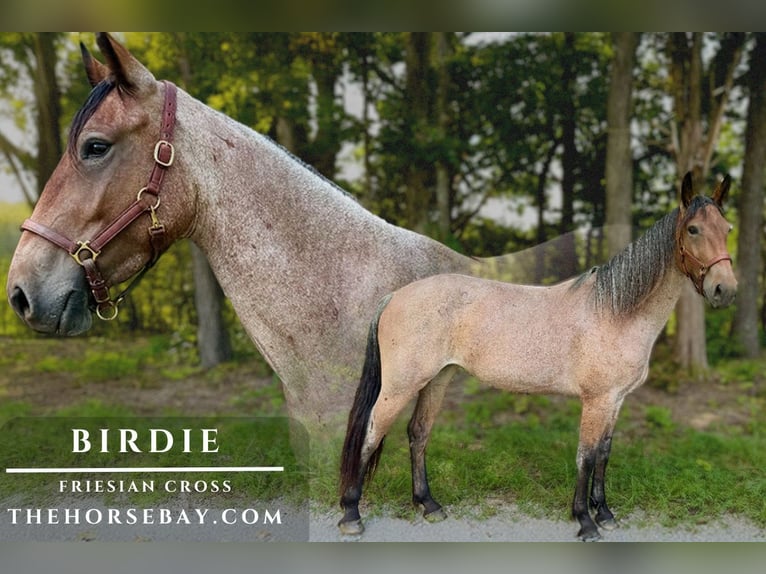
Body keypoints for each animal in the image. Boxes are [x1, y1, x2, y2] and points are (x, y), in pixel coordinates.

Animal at [338, 173, 737, 541]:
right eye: (694, 229)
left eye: (727, 228)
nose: (725, 290)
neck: (616, 311)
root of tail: (396, 296)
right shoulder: (597, 401)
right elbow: (586, 456)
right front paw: (585, 522)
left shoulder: (615, 400)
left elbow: (604, 453)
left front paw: (605, 513)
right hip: (401, 386)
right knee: (372, 433)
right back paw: (351, 514)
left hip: (437, 379)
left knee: (418, 433)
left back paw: (429, 505)